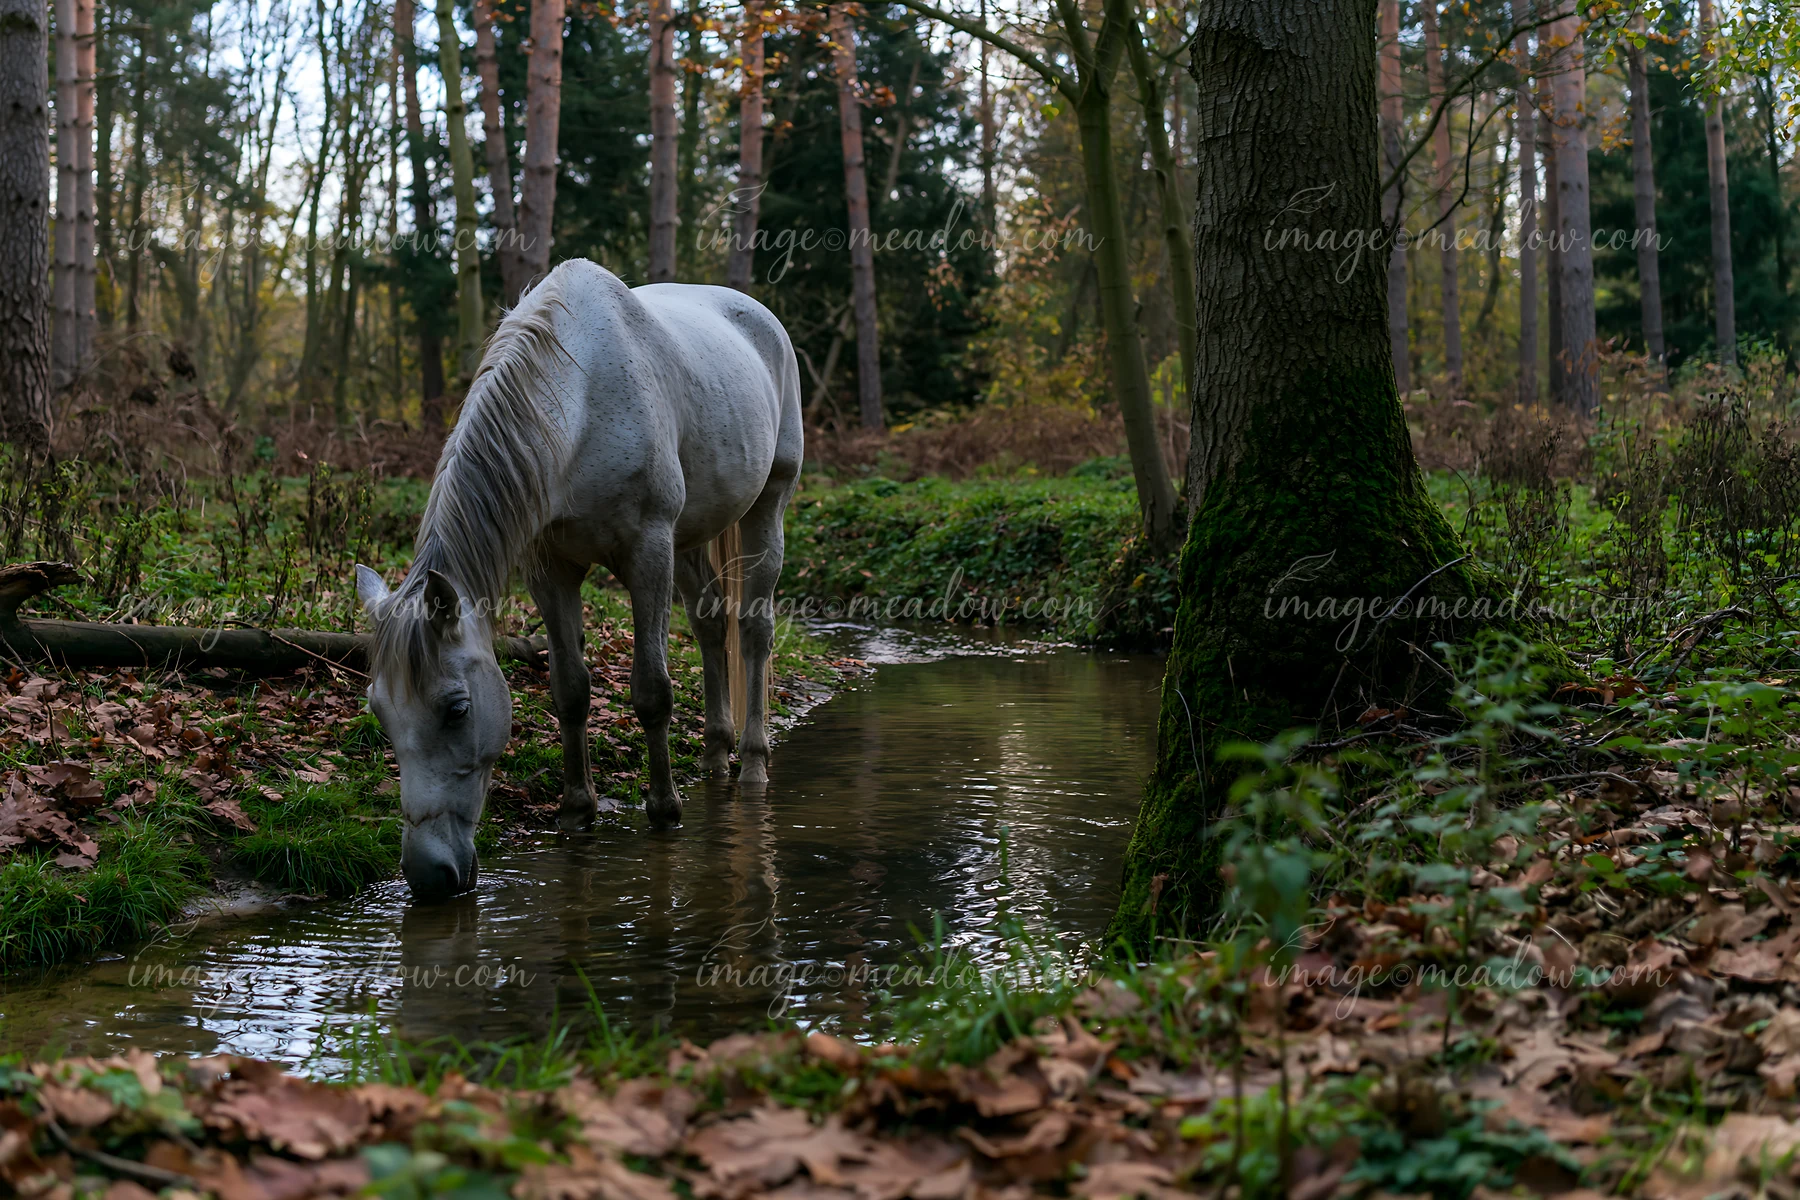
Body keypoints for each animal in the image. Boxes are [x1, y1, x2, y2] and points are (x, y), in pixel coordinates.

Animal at [354, 259, 804, 903]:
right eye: (380, 713)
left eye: (457, 710)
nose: (428, 876)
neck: (582, 402)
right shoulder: (551, 568)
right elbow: (569, 689)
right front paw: (574, 810)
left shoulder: (648, 551)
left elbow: (651, 690)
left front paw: (664, 809)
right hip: (693, 536)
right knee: (712, 628)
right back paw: (716, 757)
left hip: (767, 507)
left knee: (754, 632)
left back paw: (752, 764)